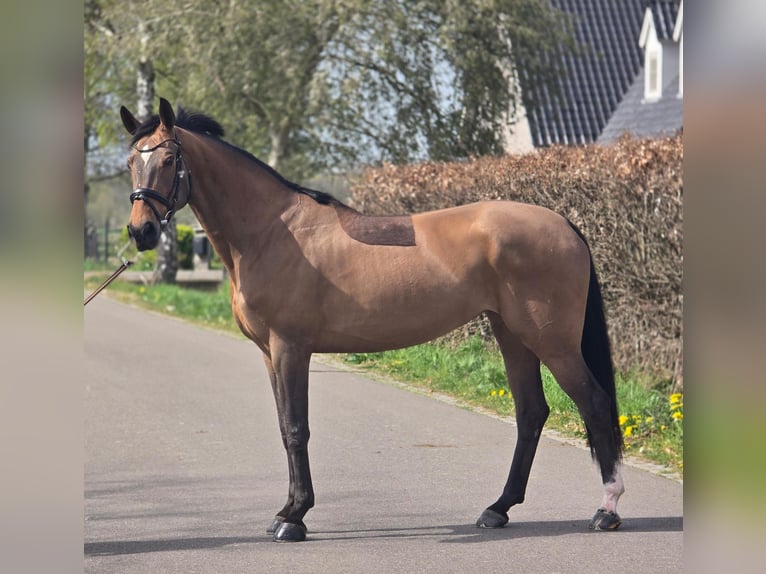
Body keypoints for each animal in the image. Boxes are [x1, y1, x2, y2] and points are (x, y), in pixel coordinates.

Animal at [119, 98, 625, 542]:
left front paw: (295, 518)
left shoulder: (290, 348)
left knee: (594, 404)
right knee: (531, 413)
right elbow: (285, 427)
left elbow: (297, 429)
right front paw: (286, 511)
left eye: (169, 159)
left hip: (552, 341)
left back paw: (606, 511)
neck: (271, 232)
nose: (141, 231)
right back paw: (498, 509)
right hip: (512, 335)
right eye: (130, 162)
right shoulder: (269, 353)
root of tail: (564, 223)